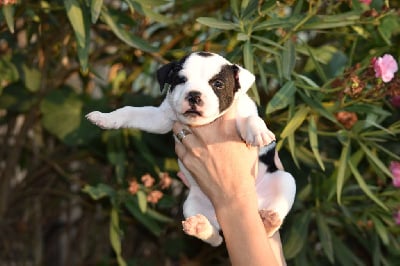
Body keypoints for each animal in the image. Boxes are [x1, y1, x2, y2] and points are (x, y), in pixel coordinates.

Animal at [86, 52, 296, 247]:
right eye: (180, 80)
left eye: (218, 84)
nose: (194, 95)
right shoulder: (161, 118)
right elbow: (130, 111)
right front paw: (105, 118)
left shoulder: (244, 110)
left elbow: (250, 118)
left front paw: (259, 131)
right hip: (191, 204)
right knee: (216, 239)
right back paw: (200, 227)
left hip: (285, 181)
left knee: (270, 224)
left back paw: (269, 221)